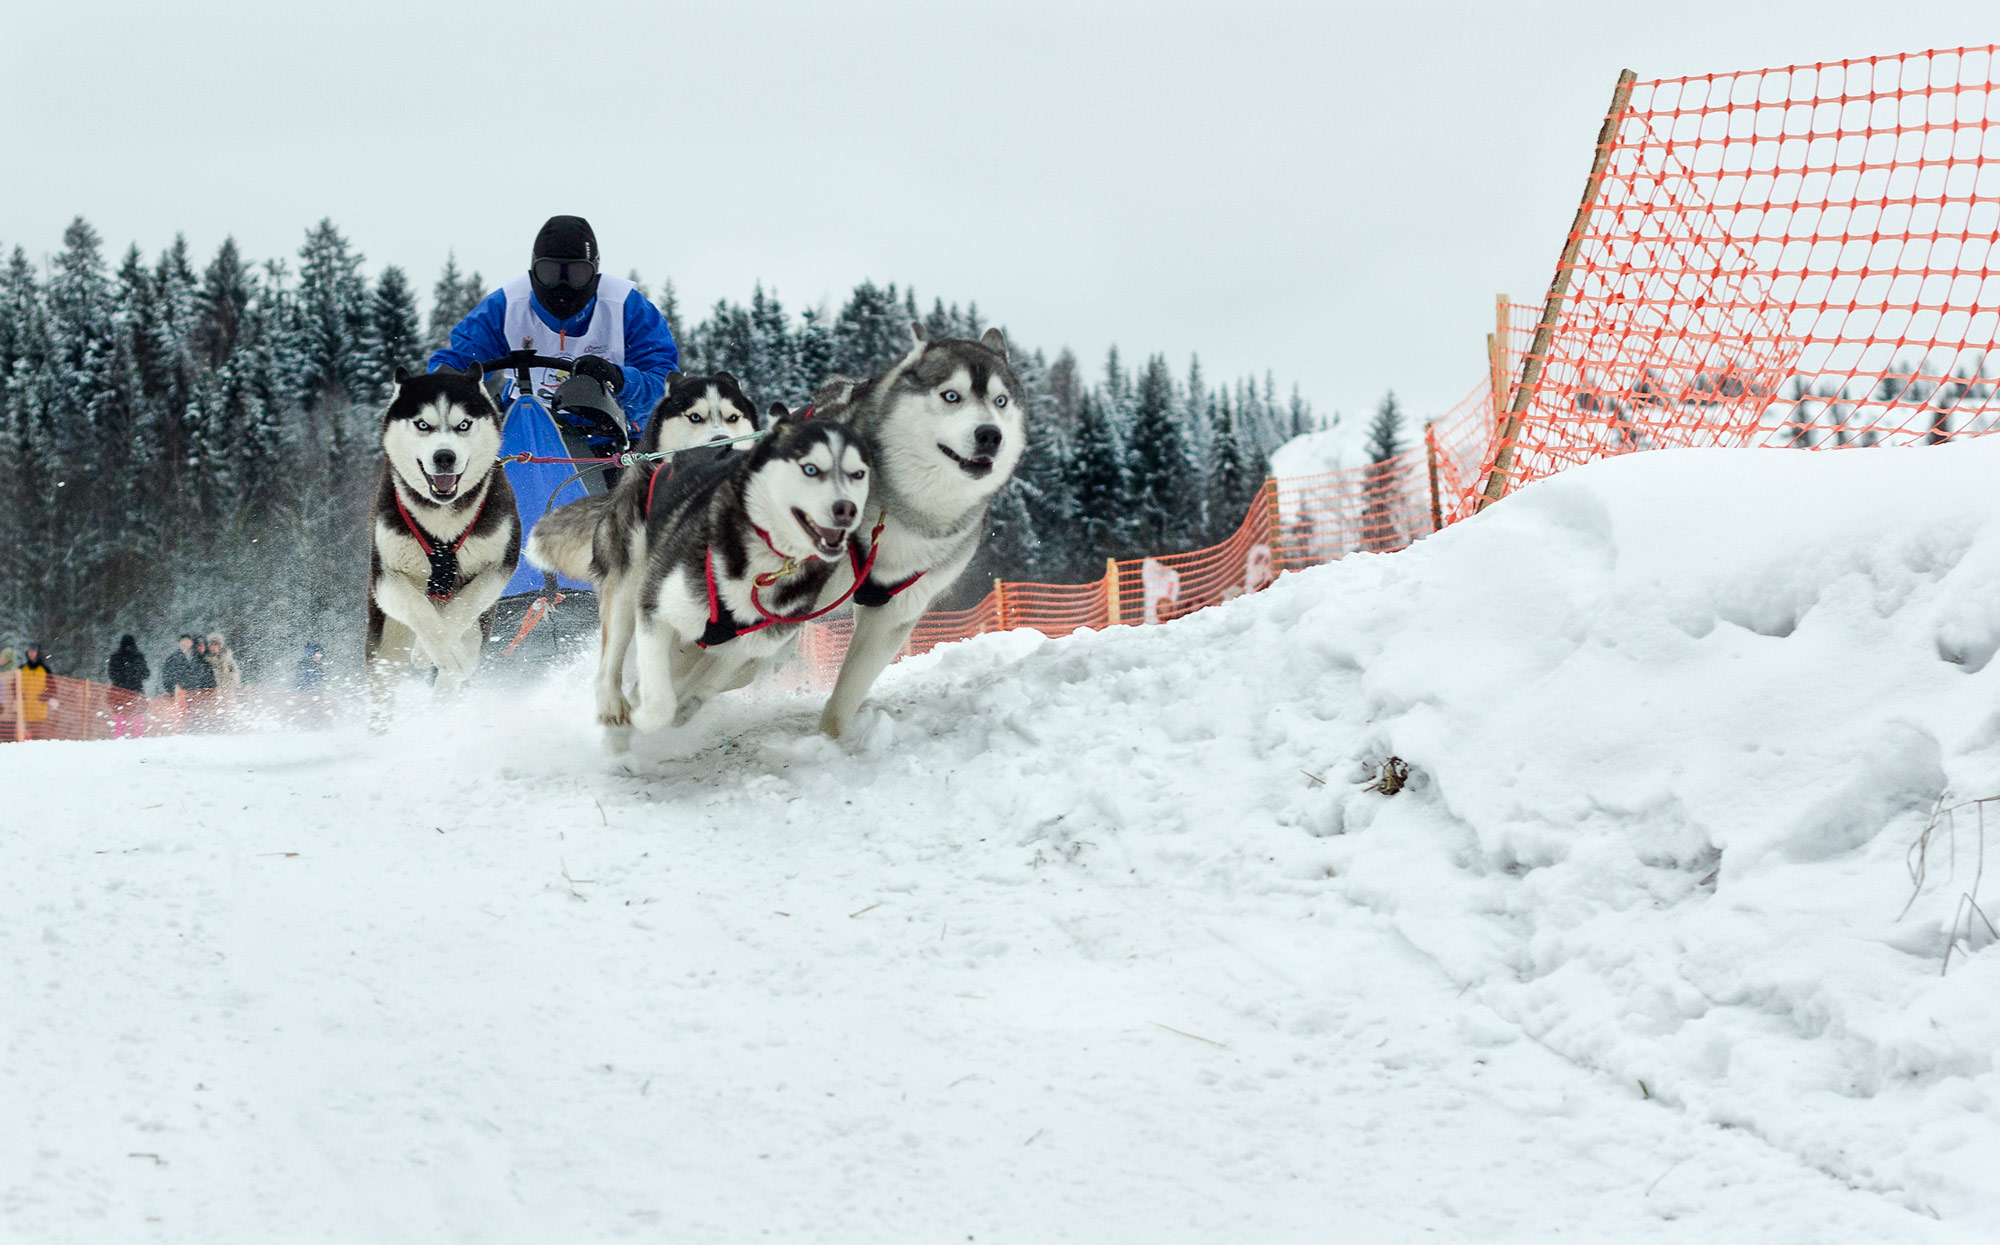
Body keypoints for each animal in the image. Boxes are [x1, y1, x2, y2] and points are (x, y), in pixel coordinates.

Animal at [368, 366, 524, 728]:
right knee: (384, 683)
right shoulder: (386, 578)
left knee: (455, 671)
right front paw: (431, 647)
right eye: (422, 424)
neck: (442, 518)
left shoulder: (500, 564)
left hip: (478, 631)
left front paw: (433, 651)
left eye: (463, 425)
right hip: (386, 643)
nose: (444, 457)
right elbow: (418, 607)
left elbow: (465, 604)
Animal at [528, 410, 872, 740]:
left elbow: (700, 686)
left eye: (858, 474)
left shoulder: (743, 650)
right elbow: (659, 700)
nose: (846, 510)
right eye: (809, 469)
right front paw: (645, 716)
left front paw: (679, 707)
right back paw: (614, 706)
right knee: (609, 665)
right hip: (628, 586)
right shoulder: (655, 611)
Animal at [812, 326, 1032, 740]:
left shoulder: (894, 611)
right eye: (951, 395)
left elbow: (846, 694)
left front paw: (828, 741)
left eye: (1000, 401)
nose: (990, 435)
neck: (909, 511)